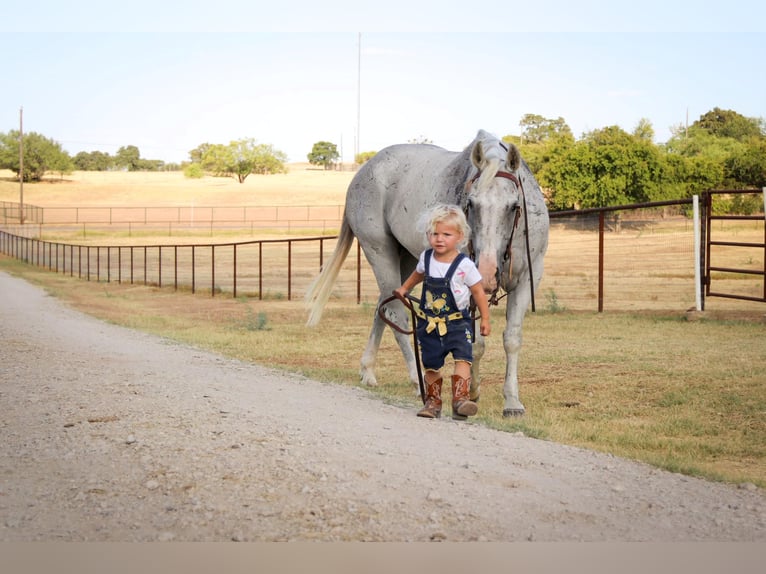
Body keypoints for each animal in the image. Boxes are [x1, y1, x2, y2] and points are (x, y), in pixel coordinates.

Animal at [304, 131, 548, 418]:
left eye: (513, 206)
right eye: (471, 203)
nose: (487, 273)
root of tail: (363, 171)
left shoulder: (528, 278)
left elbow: (512, 339)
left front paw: (512, 402)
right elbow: (475, 344)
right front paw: (472, 392)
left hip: (409, 261)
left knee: (383, 306)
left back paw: (368, 371)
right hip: (380, 252)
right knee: (396, 314)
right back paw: (416, 380)